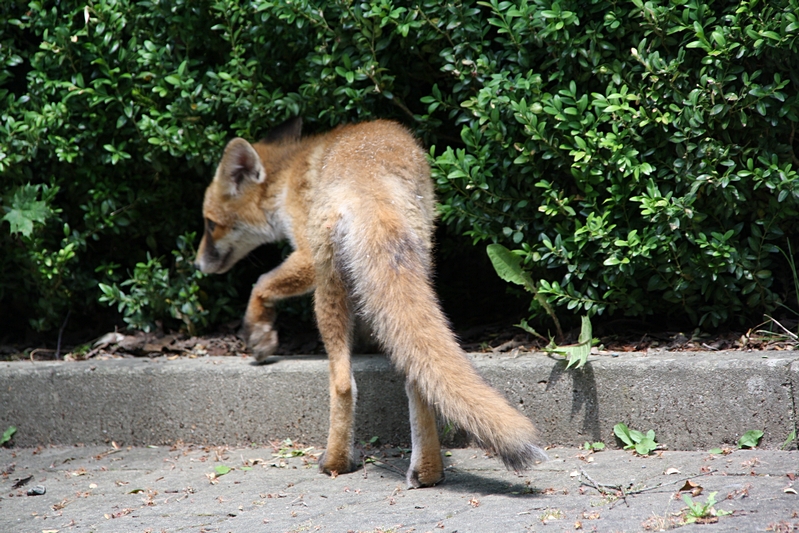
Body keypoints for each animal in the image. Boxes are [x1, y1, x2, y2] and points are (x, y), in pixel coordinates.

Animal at [195, 117, 547, 487]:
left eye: (210, 224)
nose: (197, 265)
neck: (288, 178)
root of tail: (371, 187)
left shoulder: (306, 256)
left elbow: (260, 284)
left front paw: (259, 333)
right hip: (415, 266)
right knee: (416, 378)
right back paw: (428, 472)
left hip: (326, 289)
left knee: (342, 384)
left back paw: (336, 461)